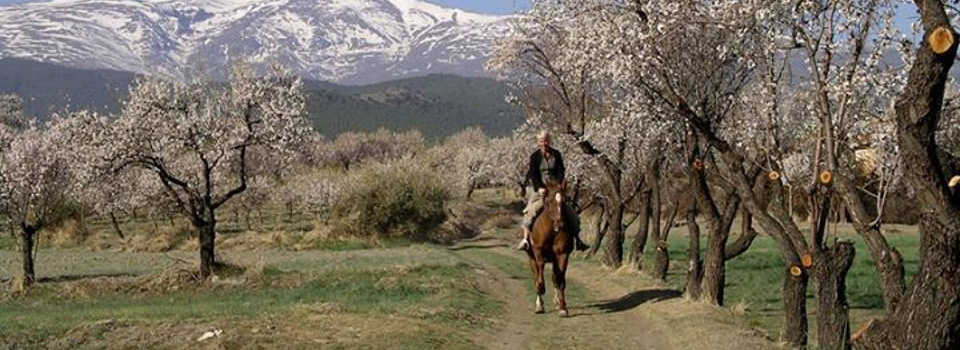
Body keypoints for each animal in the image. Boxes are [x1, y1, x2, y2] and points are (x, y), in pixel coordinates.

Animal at [520, 180, 572, 318]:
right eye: (549, 200)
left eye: (565, 200)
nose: (560, 224)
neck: (552, 231)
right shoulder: (538, 253)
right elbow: (539, 277)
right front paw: (540, 298)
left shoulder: (562, 255)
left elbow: (560, 281)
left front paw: (562, 308)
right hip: (531, 258)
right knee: (536, 275)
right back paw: (540, 304)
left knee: (555, 278)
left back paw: (557, 301)